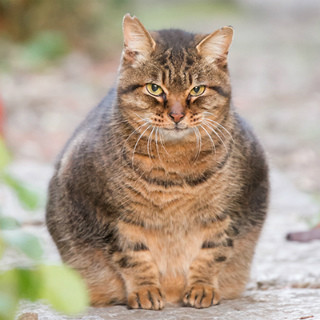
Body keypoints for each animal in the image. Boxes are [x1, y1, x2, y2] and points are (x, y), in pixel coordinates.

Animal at [45, 13, 268, 310]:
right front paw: (145, 291)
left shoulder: (230, 212)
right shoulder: (113, 216)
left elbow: (213, 252)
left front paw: (202, 288)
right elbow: (134, 257)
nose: (176, 115)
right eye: (154, 88)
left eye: (197, 89)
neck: (175, 163)